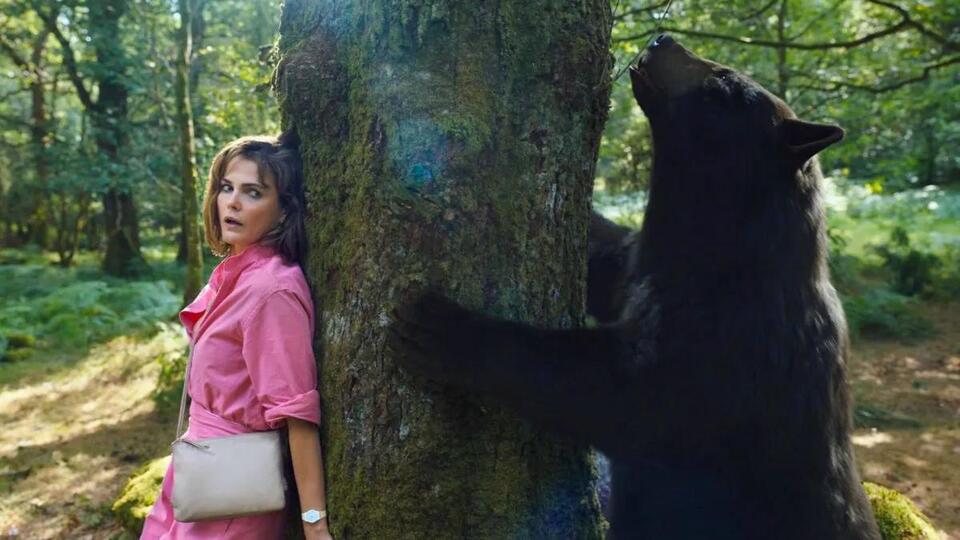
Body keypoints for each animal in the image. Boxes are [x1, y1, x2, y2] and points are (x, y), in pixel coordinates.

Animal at [388, 34, 881, 540]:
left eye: (723, 83)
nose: (664, 38)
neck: (717, 253)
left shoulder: (733, 349)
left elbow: (620, 396)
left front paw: (443, 329)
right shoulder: (639, 266)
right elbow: (605, 257)